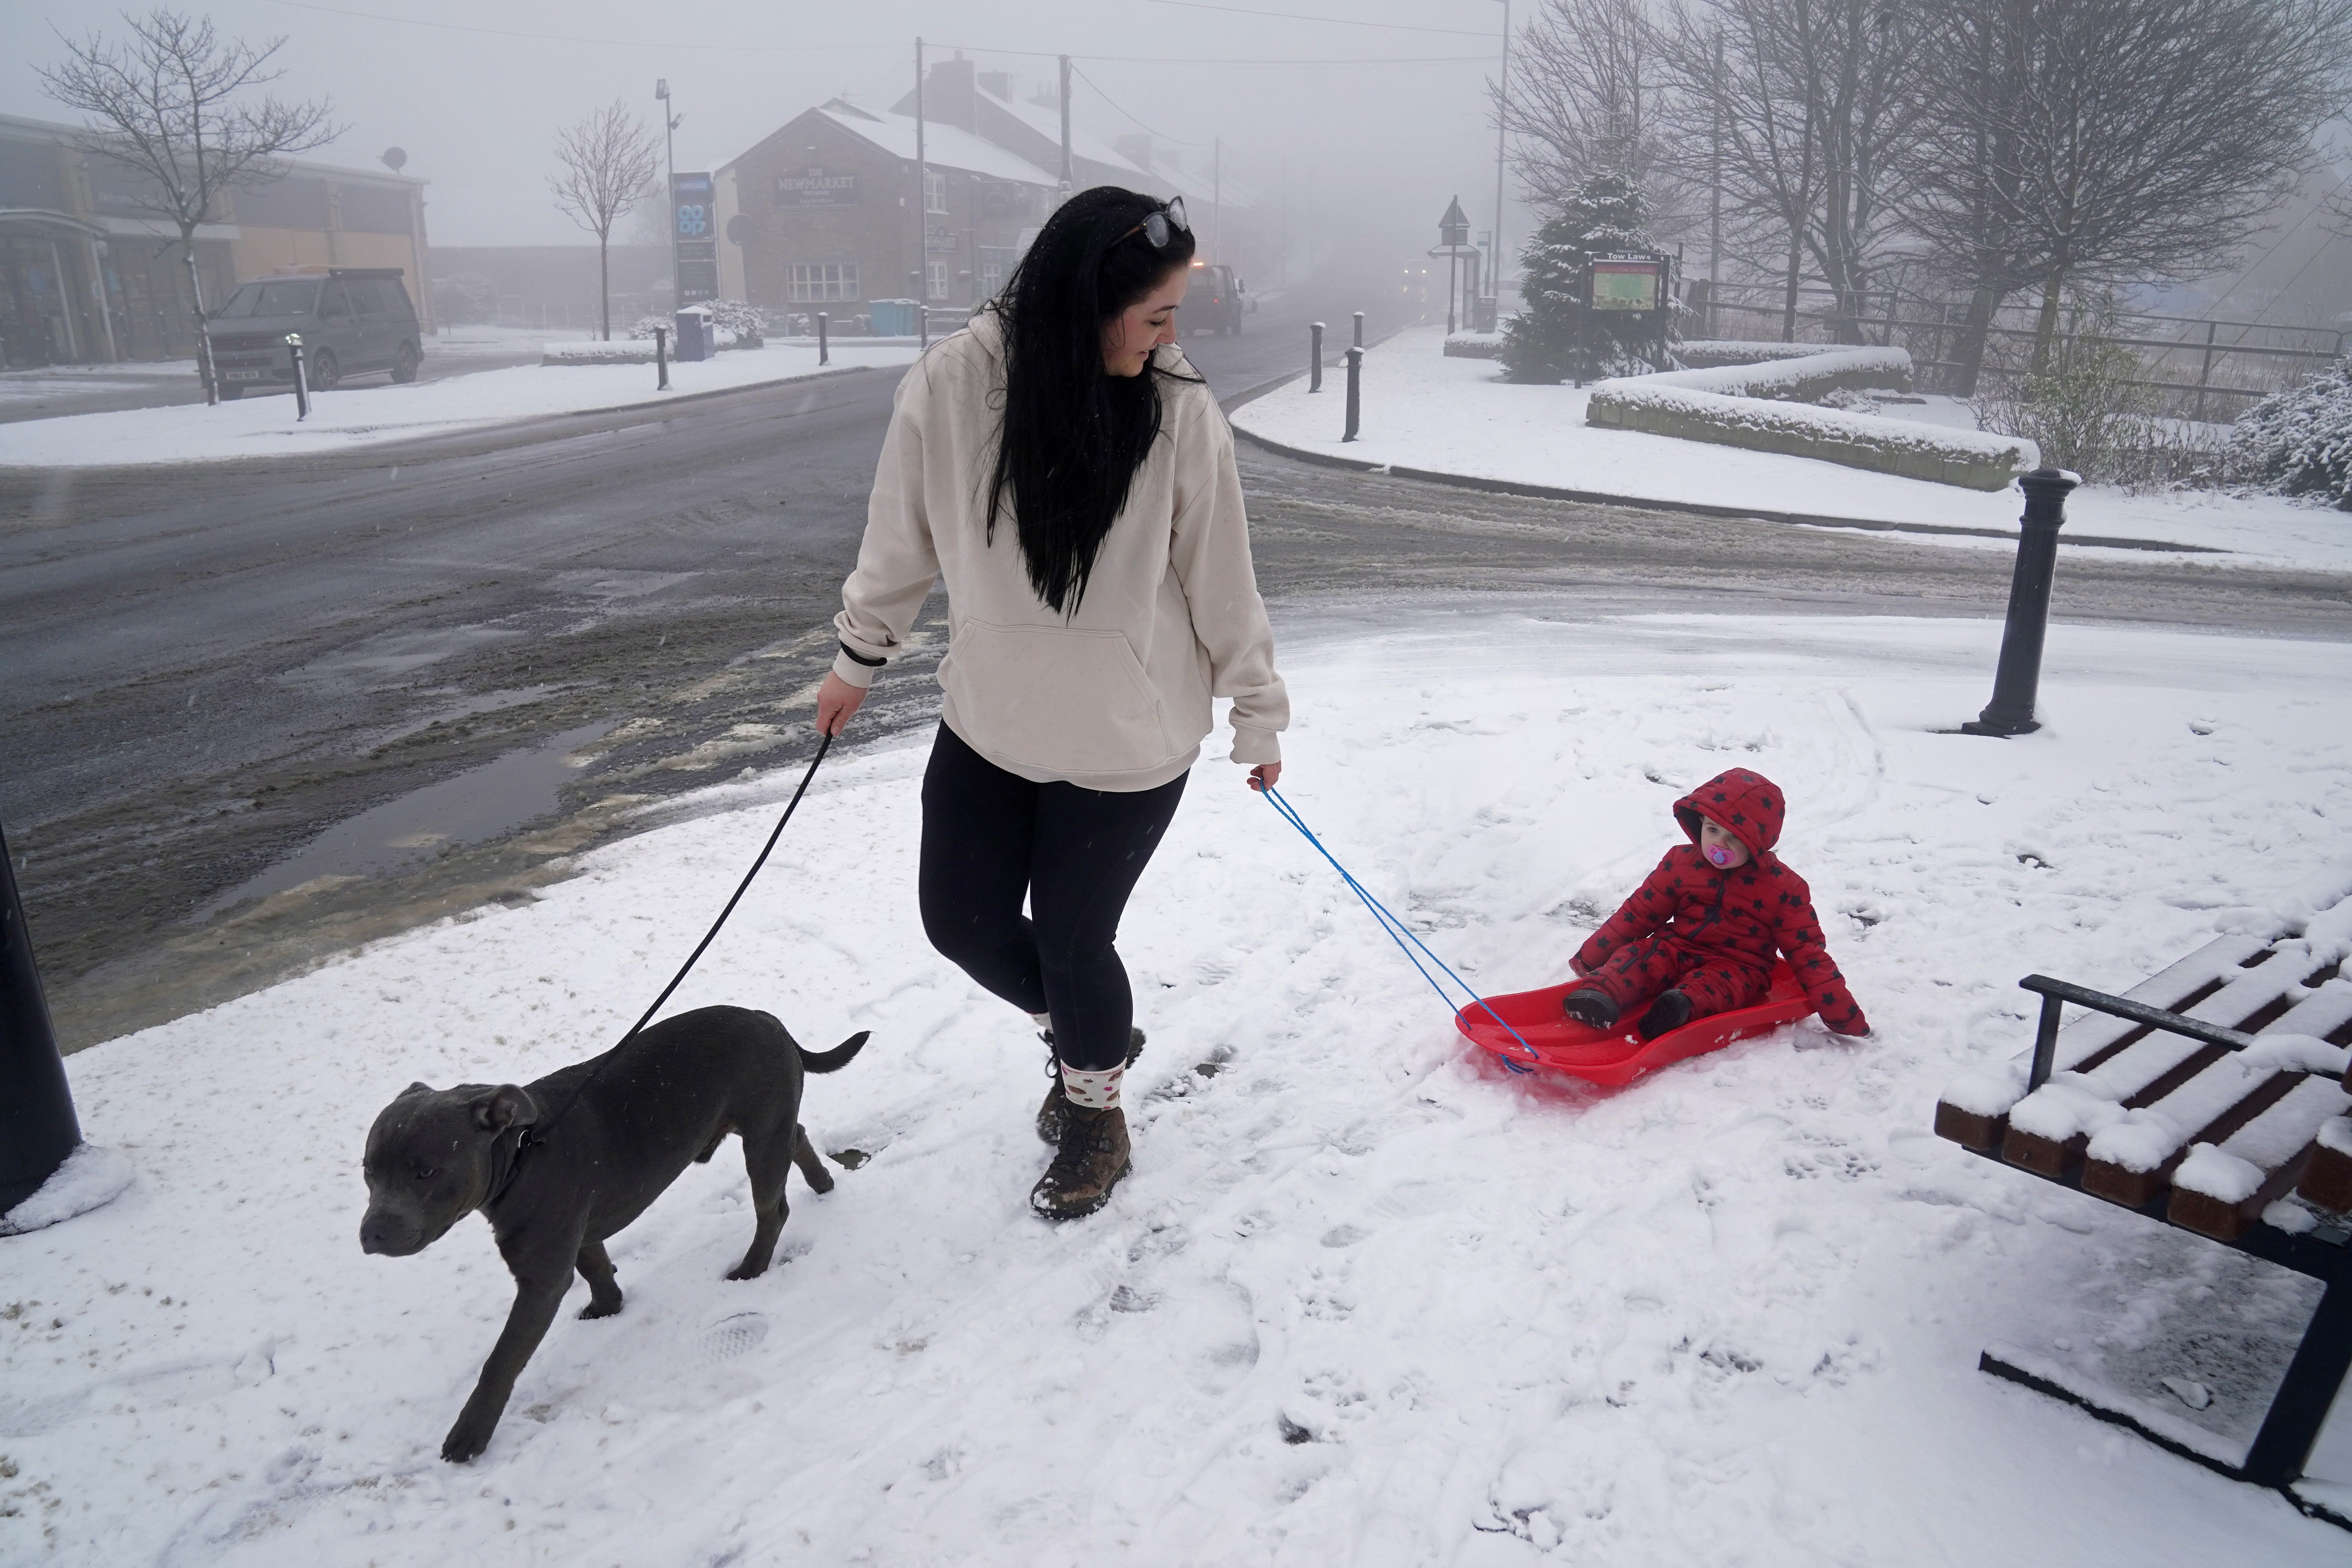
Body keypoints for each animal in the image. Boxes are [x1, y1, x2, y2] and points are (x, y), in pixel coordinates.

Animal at [362, 1011, 880, 1467]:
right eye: (368, 1171)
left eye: (425, 1172)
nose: (371, 1234)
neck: (520, 1155)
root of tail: (770, 1021)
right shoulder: (578, 1234)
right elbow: (594, 1266)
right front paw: (607, 1306)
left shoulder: (540, 1280)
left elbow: (501, 1361)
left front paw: (470, 1434)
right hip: (770, 1131)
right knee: (799, 1137)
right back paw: (822, 1184)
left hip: (762, 1139)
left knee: (773, 1208)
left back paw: (753, 1267)